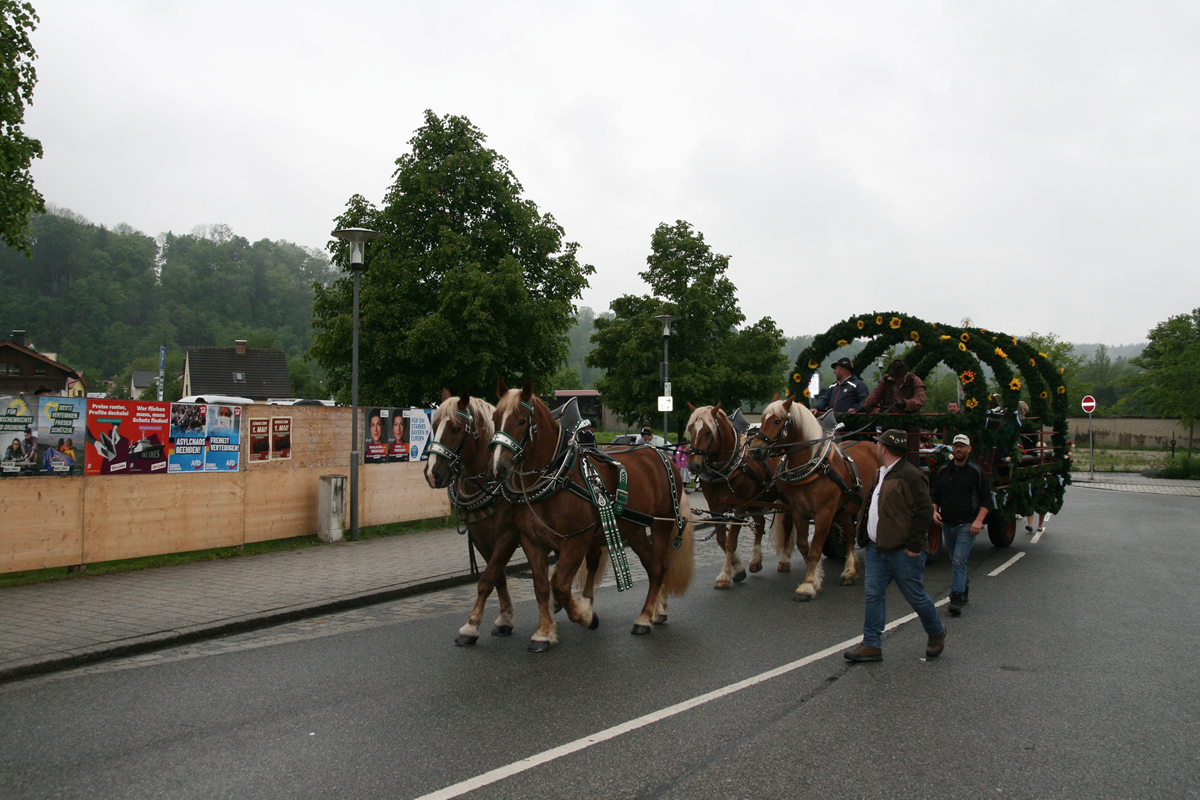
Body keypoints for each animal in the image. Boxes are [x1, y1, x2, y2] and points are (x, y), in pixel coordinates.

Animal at [424, 390, 521, 647]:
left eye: (456, 428)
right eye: (434, 425)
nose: (432, 474)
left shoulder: (509, 535)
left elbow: (487, 579)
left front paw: (470, 626)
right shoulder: (481, 538)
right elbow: (497, 577)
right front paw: (505, 619)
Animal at [490, 378, 695, 652]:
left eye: (522, 421)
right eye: (495, 417)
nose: (498, 469)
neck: (558, 476)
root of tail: (662, 454)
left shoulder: (577, 539)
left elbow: (560, 586)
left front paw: (587, 615)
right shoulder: (531, 541)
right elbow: (542, 587)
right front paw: (543, 633)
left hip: (662, 524)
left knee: (659, 567)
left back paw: (644, 618)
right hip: (635, 529)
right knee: (651, 566)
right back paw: (655, 611)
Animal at [685, 403, 795, 588]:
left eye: (708, 432)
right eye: (692, 429)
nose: (694, 465)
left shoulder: (739, 507)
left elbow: (730, 542)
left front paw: (724, 576)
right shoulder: (716, 508)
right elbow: (721, 539)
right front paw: (737, 569)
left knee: (787, 525)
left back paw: (784, 560)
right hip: (757, 501)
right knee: (760, 524)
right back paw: (755, 560)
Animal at [749, 396, 882, 601]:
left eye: (778, 421)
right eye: (762, 419)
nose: (755, 450)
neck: (814, 468)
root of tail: (873, 444)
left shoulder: (824, 514)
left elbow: (815, 548)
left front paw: (808, 585)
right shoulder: (799, 512)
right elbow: (805, 547)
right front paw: (816, 576)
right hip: (846, 508)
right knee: (850, 535)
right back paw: (850, 571)